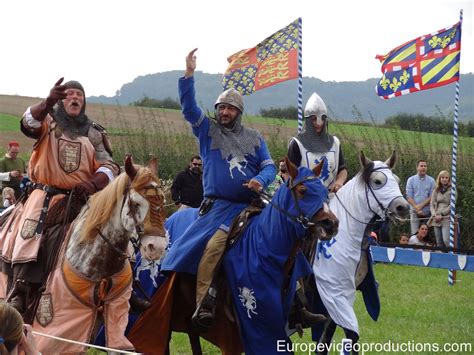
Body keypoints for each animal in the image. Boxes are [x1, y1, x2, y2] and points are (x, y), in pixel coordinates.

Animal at [310, 150, 410, 354]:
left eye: (396, 179)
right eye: (378, 181)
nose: (403, 208)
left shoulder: (341, 295)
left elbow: (336, 338)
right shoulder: (334, 292)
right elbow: (349, 335)